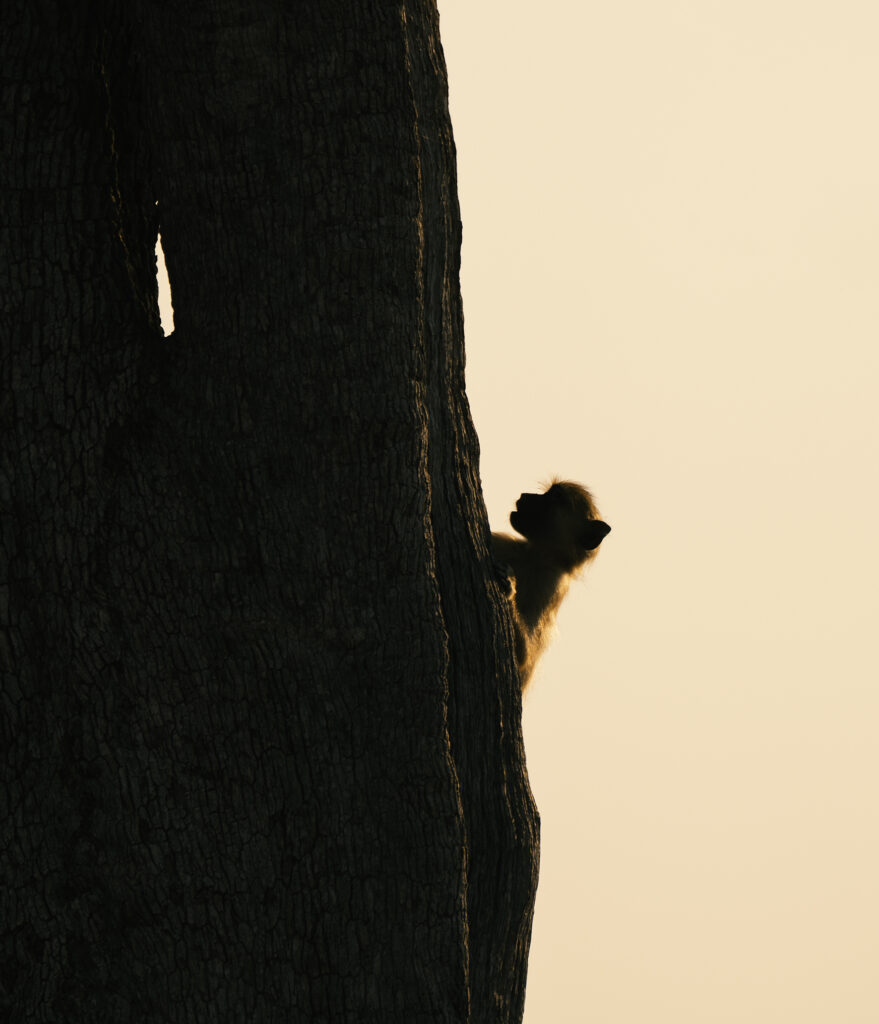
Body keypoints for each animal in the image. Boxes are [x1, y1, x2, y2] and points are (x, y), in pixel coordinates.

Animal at [491, 480, 611, 690]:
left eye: (556, 497)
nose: (524, 495)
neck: (537, 557)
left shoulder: (551, 583)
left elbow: (524, 655)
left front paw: (509, 585)